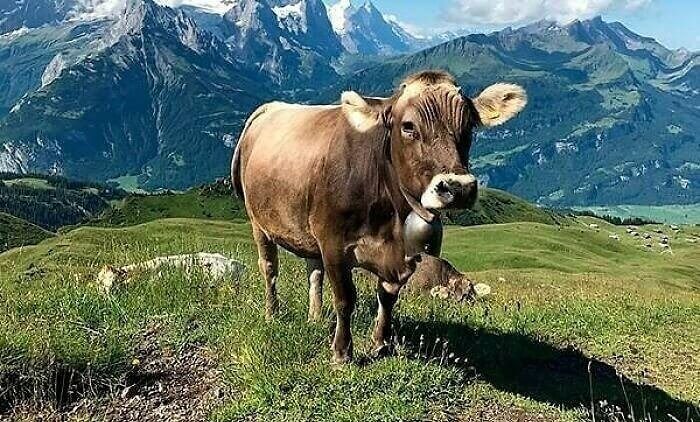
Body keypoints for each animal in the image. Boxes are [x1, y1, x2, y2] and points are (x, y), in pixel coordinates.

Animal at [232, 70, 526, 363]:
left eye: (469, 126)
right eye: (408, 126)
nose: (459, 188)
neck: (390, 219)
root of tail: (270, 108)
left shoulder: (405, 255)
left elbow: (387, 297)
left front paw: (381, 343)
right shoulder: (332, 242)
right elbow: (345, 298)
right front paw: (342, 353)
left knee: (313, 272)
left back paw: (314, 317)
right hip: (258, 221)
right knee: (269, 268)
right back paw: (272, 314)